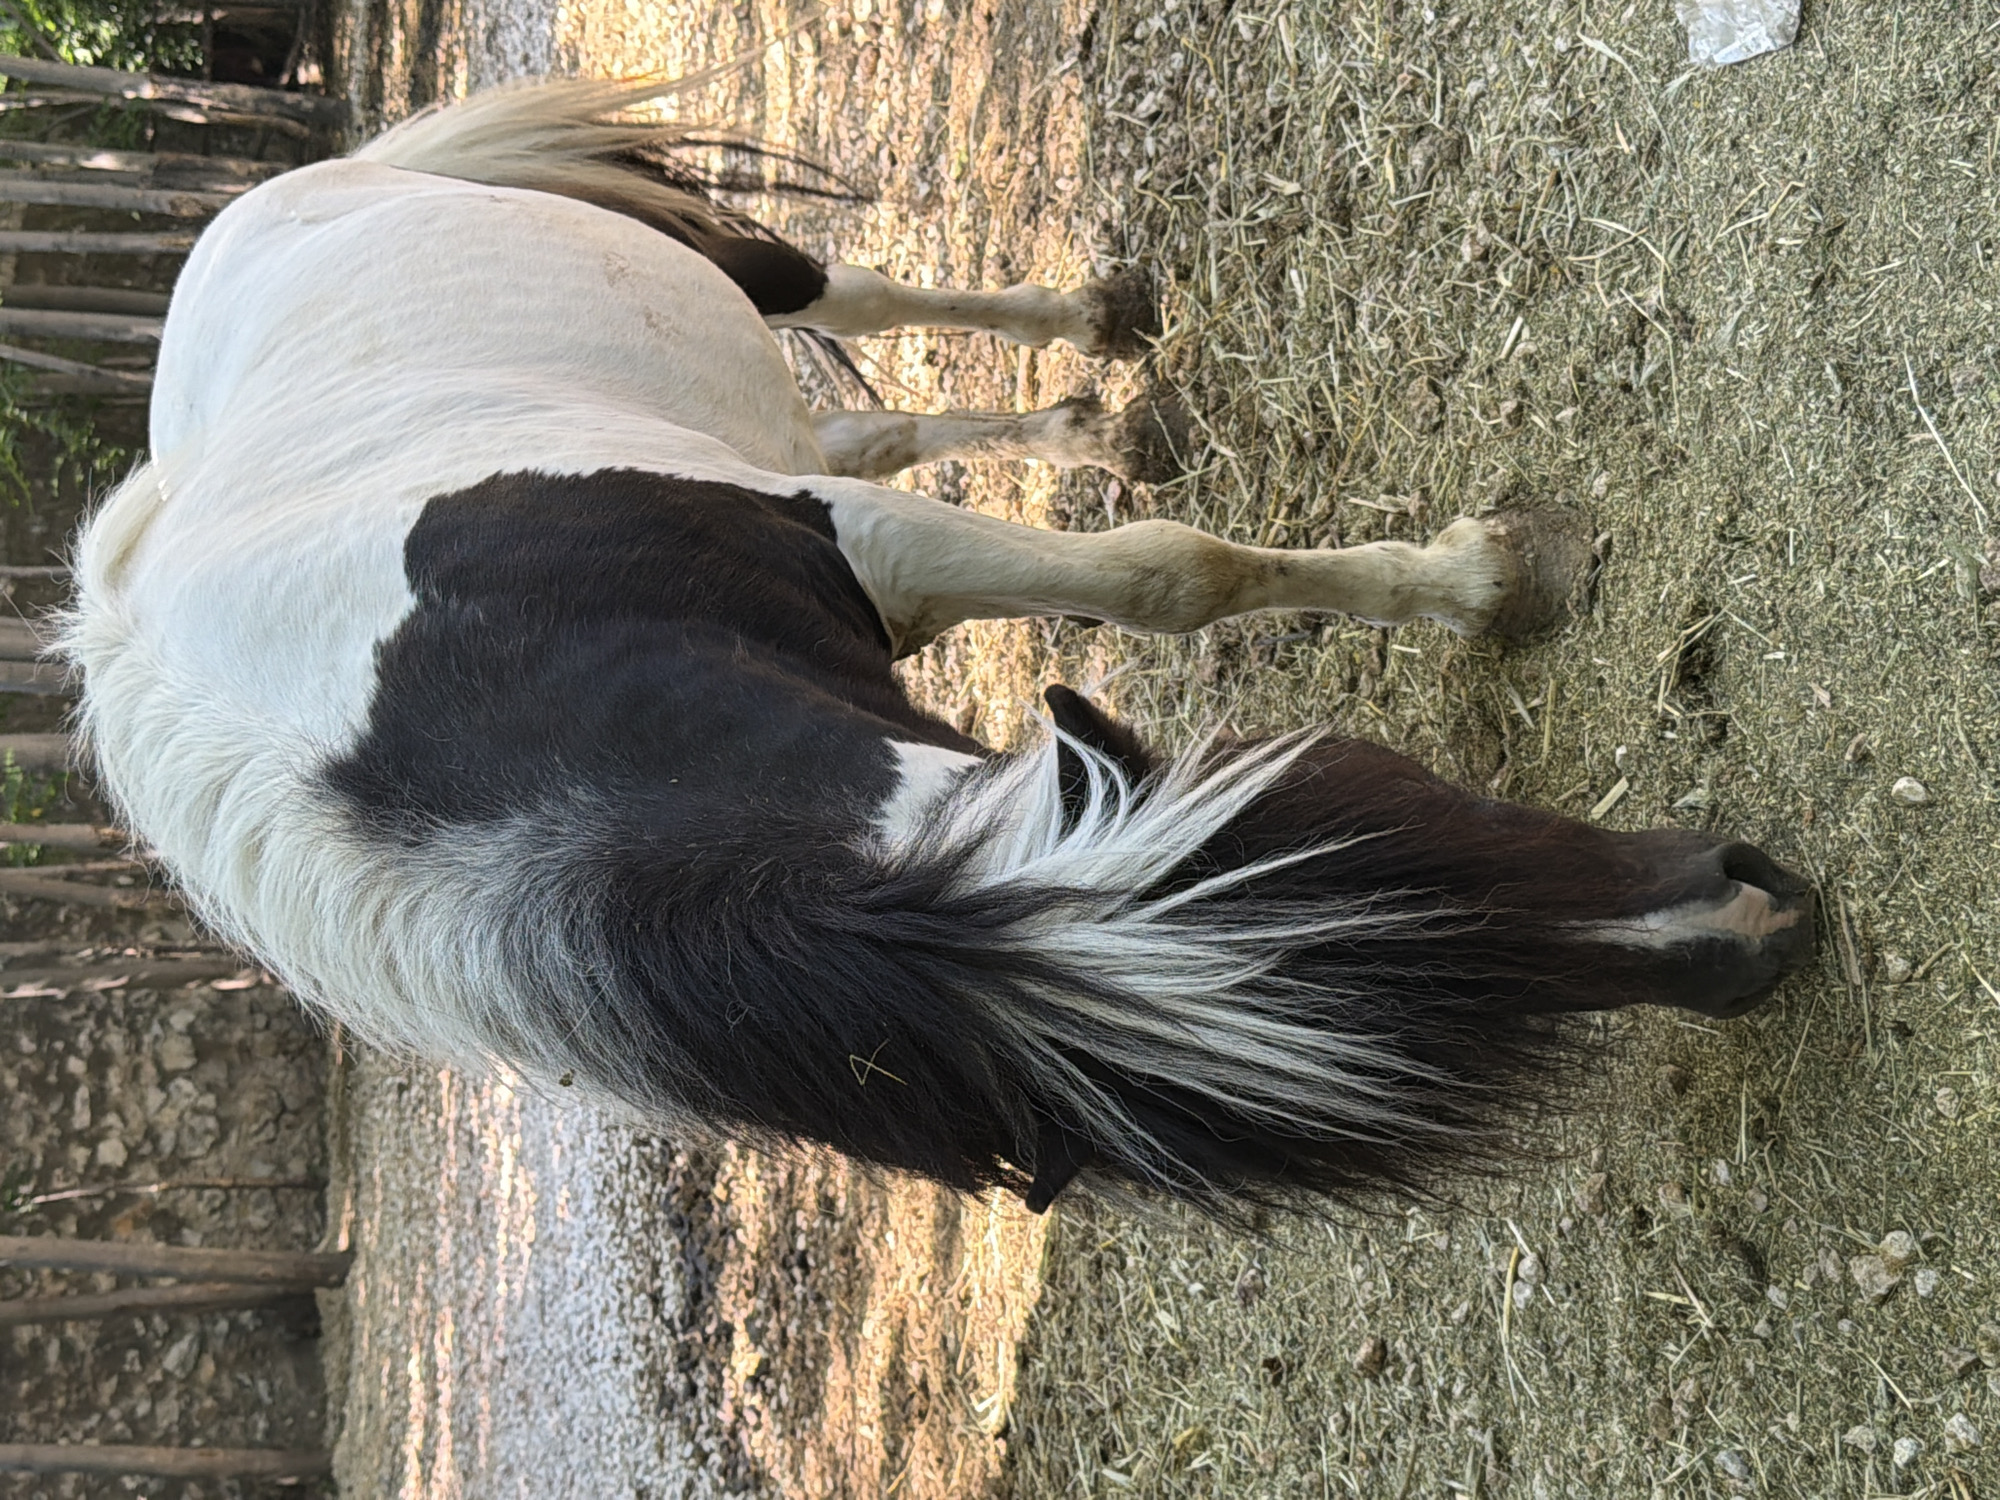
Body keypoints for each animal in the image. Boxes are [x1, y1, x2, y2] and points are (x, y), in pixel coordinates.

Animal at [62, 79, 1815, 1216]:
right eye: (1403, 846)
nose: (1755, 919)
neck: (469, 727)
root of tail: (279, 198)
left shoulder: (866, 545)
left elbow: (1162, 573)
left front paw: (1480, 582)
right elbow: (1151, 571)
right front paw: (1476, 580)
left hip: (740, 284)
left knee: (849, 291)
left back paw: (1098, 328)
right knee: (871, 407)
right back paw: (1091, 408)